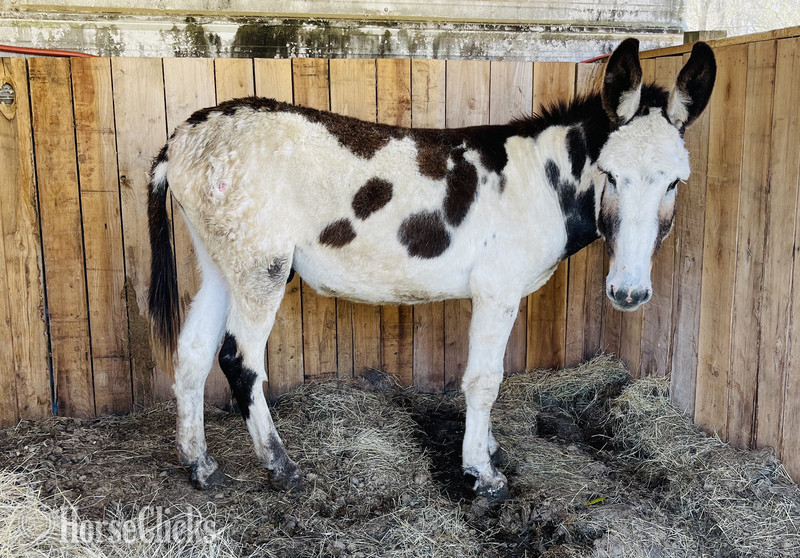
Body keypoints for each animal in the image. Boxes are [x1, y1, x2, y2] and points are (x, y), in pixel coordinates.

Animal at [148, 38, 716, 499]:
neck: (544, 180)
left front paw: (487, 449)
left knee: (193, 352)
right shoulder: (497, 290)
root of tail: (183, 138)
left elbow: (486, 379)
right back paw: (281, 467)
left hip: (221, 261)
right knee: (238, 360)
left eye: (674, 183)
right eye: (610, 175)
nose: (628, 293)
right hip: (261, 263)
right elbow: (485, 379)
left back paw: (199, 465)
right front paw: (482, 473)